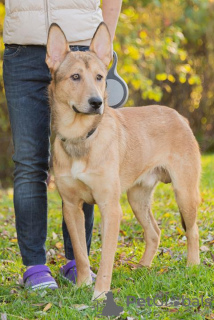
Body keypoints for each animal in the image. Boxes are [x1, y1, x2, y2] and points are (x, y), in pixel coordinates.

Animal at [46, 22, 201, 300]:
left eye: (99, 77)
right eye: (75, 77)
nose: (96, 102)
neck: (82, 137)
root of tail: (179, 117)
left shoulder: (110, 208)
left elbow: (106, 258)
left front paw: (99, 294)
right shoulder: (71, 207)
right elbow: (81, 254)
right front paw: (83, 284)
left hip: (184, 192)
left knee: (192, 230)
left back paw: (192, 266)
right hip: (137, 199)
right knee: (154, 233)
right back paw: (143, 268)